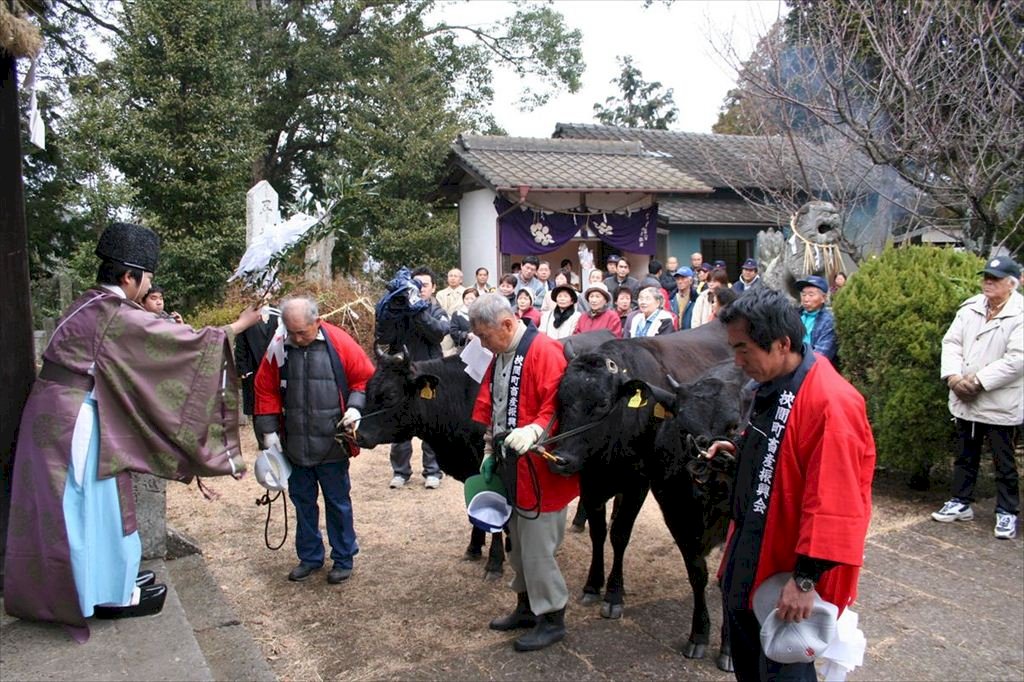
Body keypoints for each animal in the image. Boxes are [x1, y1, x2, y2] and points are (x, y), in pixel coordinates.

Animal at [548, 323, 741, 663]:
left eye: (601, 403)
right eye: (562, 399)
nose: (562, 459)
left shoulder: (637, 484)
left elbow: (619, 534)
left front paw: (613, 594)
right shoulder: (592, 482)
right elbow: (599, 533)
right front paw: (592, 585)